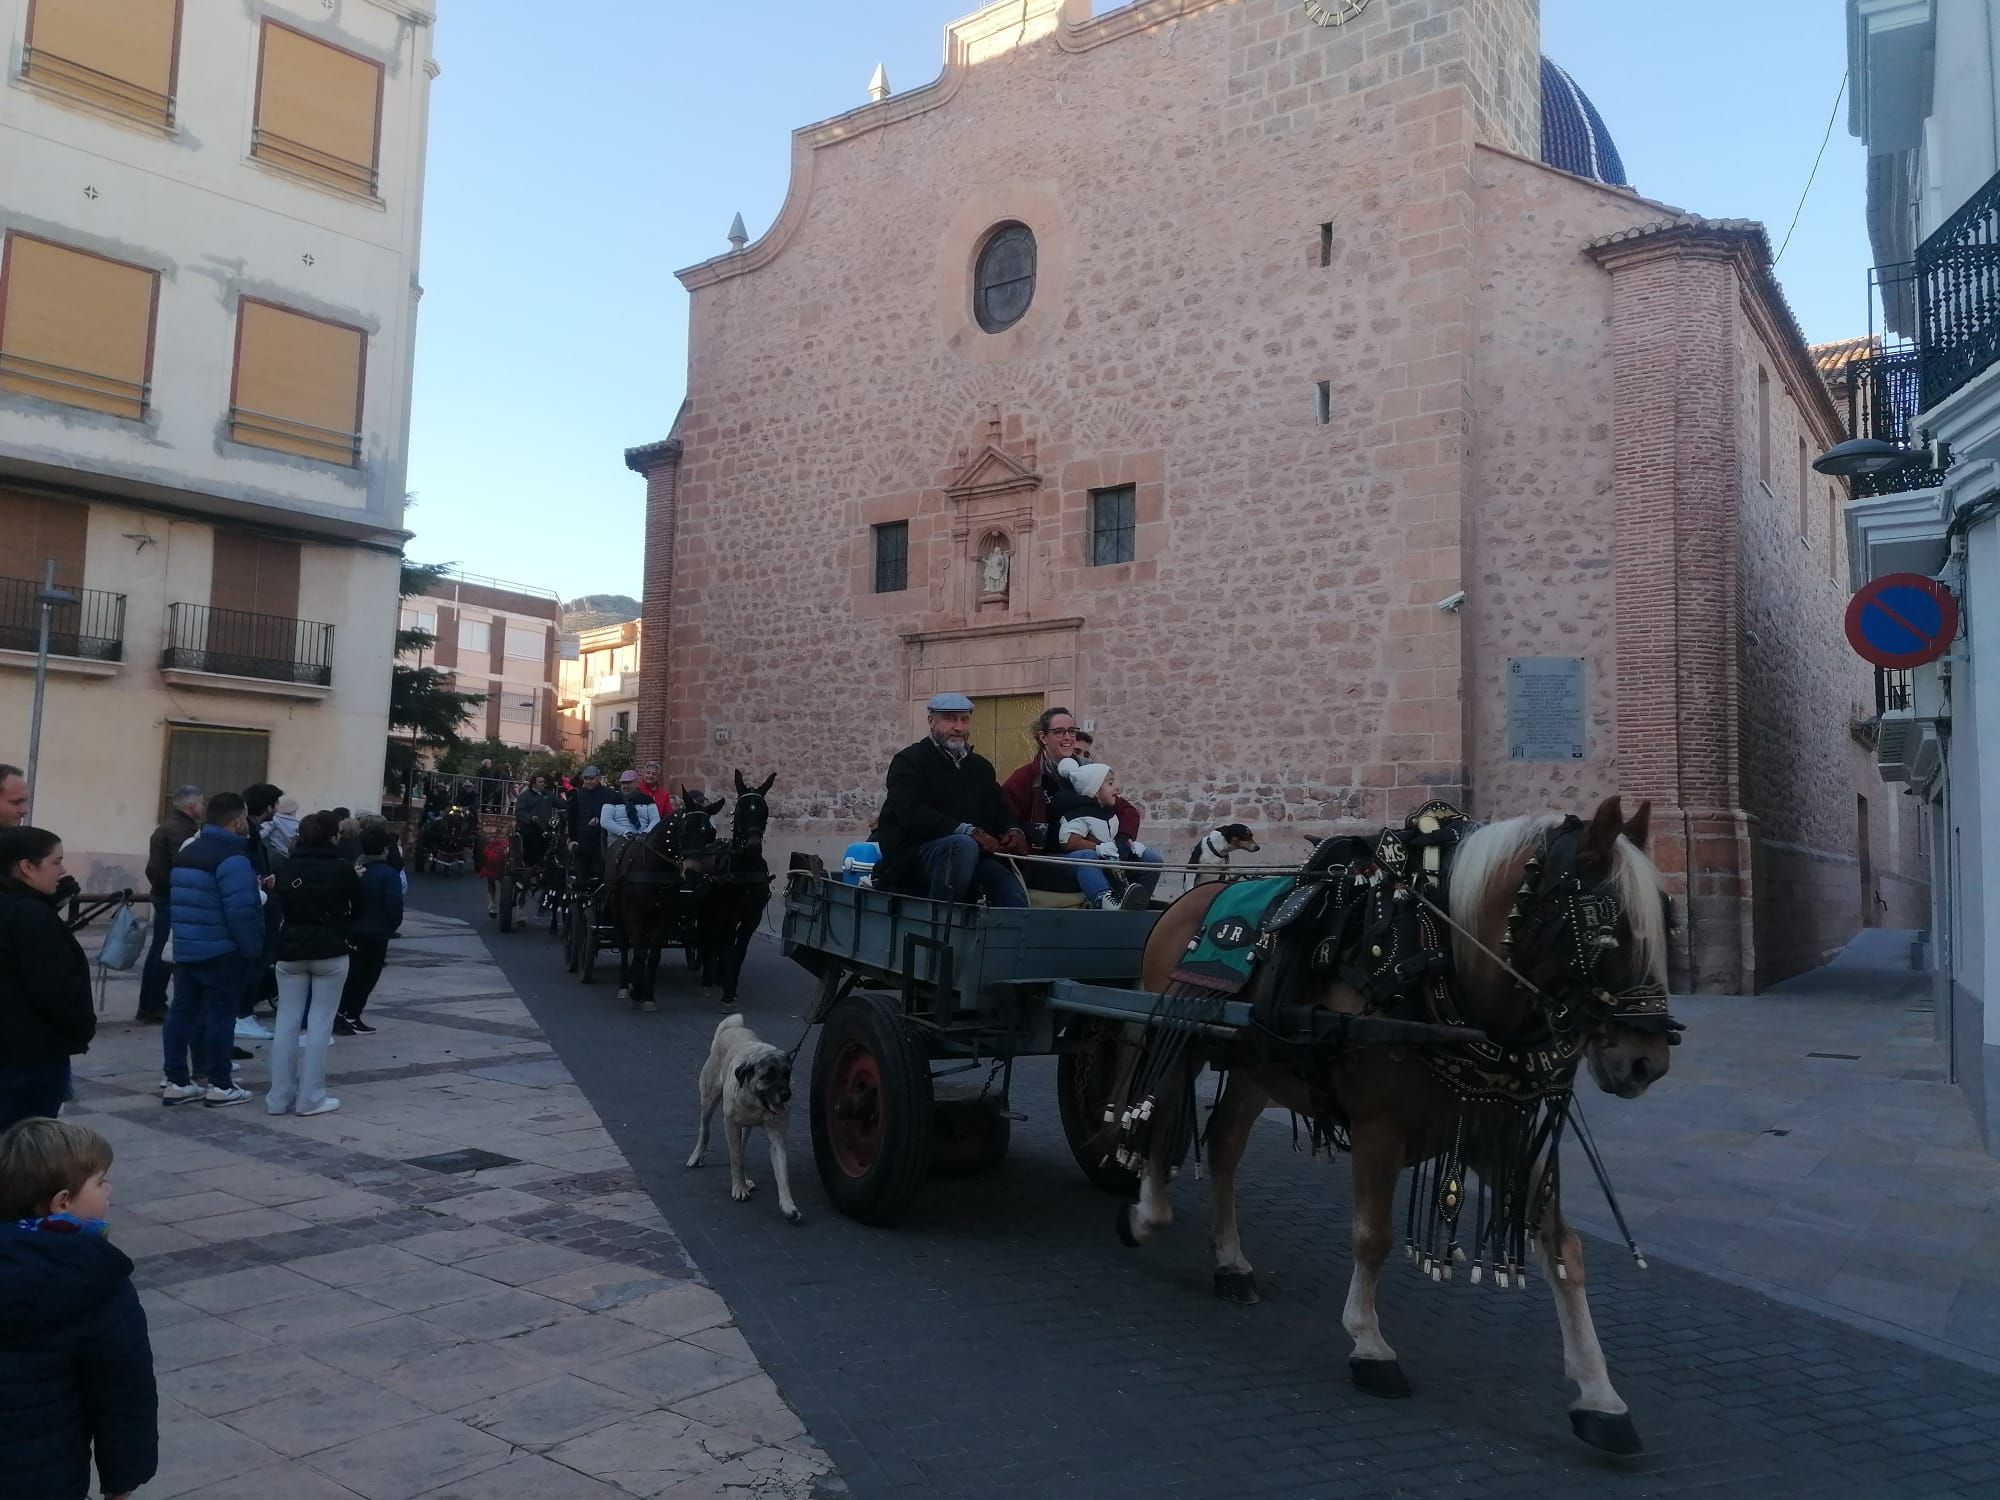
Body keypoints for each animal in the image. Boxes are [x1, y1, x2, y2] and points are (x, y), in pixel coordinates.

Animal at [600, 792, 720, 1016]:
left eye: (710, 834)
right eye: (685, 831)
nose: (692, 873)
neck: (654, 868)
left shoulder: (662, 917)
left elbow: (653, 955)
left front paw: (648, 996)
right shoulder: (634, 915)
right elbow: (639, 951)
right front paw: (636, 991)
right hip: (616, 911)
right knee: (624, 945)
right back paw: (624, 985)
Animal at [684, 1016, 800, 1224]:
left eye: (787, 1074)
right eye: (767, 1076)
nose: (786, 1095)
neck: (757, 1104)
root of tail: (730, 1029)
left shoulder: (777, 1136)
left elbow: (782, 1173)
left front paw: (788, 1205)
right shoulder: (730, 1124)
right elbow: (736, 1158)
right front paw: (738, 1188)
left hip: (745, 1127)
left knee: (742, 1147)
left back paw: (745, 1180)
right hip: (709, 1098)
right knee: (705, 1128)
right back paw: (697, 1155)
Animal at [696, 776, 772, 1012]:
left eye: (764, 810)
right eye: (739, 809)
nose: (753, 846)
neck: (745, 870)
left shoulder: (752, 917)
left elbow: (739, 951)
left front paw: (731, 986)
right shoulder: (728, 913)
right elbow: (727, 947)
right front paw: (728, 993)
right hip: (707, 910)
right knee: (709, 937)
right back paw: (708, 978)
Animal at [1120, 800, 1680, 1456]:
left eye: (1665, 922)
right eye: (1604, 928)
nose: (1646, 1062)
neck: (1441, 967)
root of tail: (1188, 898)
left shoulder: (1495, 1131)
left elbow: (1563, 1246)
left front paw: (1600, 1396)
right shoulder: (1377, 1127)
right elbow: (1374, 1236)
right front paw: (1370, 1345)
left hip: (1259, 1065)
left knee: (1226, 1145)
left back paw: (1231, 1262)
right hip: (1173, 1034)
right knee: (1158, 1117)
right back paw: (1146, 1214)